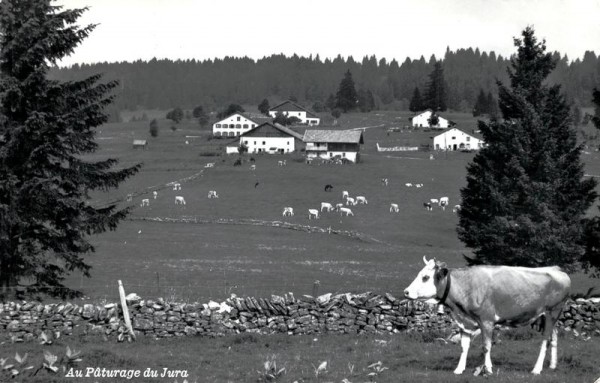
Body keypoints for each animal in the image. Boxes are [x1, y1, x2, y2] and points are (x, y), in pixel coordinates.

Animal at [406, 260, 568, 376]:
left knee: (545, 340)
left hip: (553, 312)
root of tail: (556, 269)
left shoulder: (487, 320)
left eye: (425, 277)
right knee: (554, 336)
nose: (406, 291)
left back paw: (536, 369)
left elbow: (486, 346)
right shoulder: (465, 322)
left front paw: (488, 369)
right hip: (546, 317)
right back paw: (552, 365)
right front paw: (459, 369)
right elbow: (464, 346)